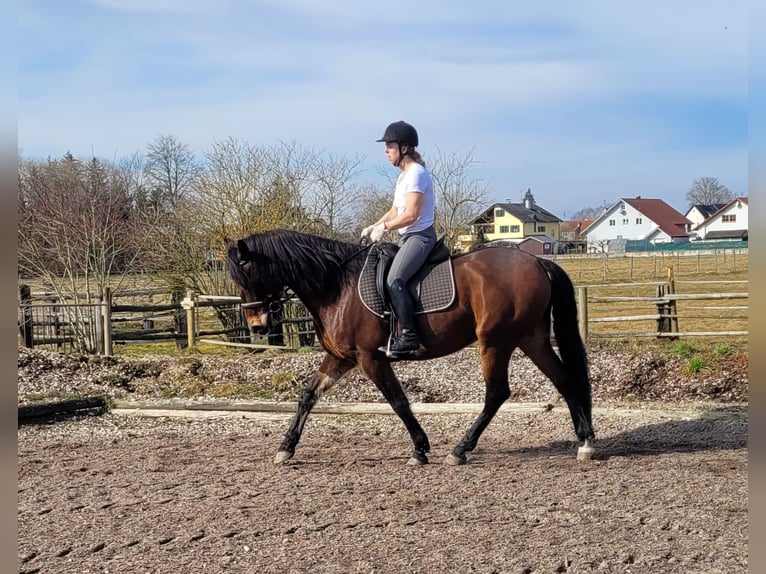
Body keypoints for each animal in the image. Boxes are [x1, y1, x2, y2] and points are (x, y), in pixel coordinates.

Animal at [225, 230, 596, 468]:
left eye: (246, 277)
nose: (257, 326)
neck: (336, 285)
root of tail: (538, 262)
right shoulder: (341, 357)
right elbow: (307, 396)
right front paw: (285, 448)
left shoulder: (370, 357)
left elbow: (397, 401)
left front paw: (420, 449)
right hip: (530, 338)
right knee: (564, 380)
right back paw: (585, 442)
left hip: (496, 341)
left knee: (497, 393)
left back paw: (460, 450)